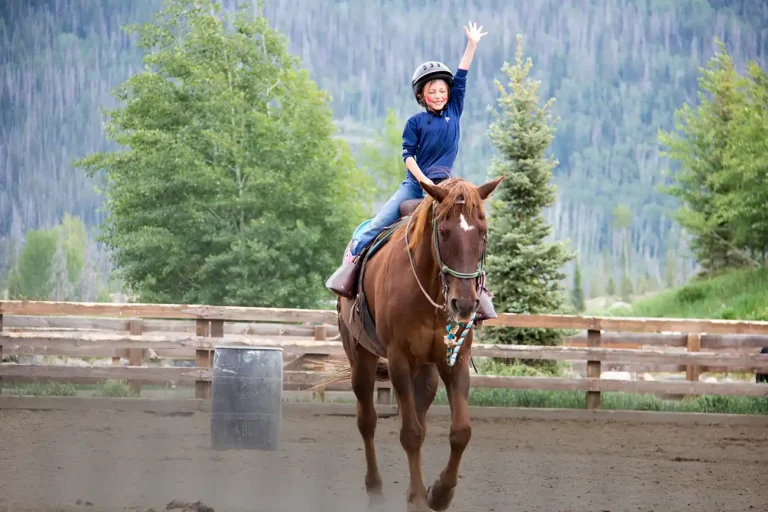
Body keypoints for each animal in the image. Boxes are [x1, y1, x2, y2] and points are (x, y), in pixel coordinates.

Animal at [315, 176, 504, 511]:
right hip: (360, 358)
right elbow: (410, 433)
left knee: (420, 414)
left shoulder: (454, 361)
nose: (464, 304)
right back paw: (375, 490)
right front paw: (417, 497)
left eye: (483, 232)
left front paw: (439, 494)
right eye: (443, 232)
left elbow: (460, 431)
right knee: (368, 421)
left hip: (426, 371)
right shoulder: (399, 361)